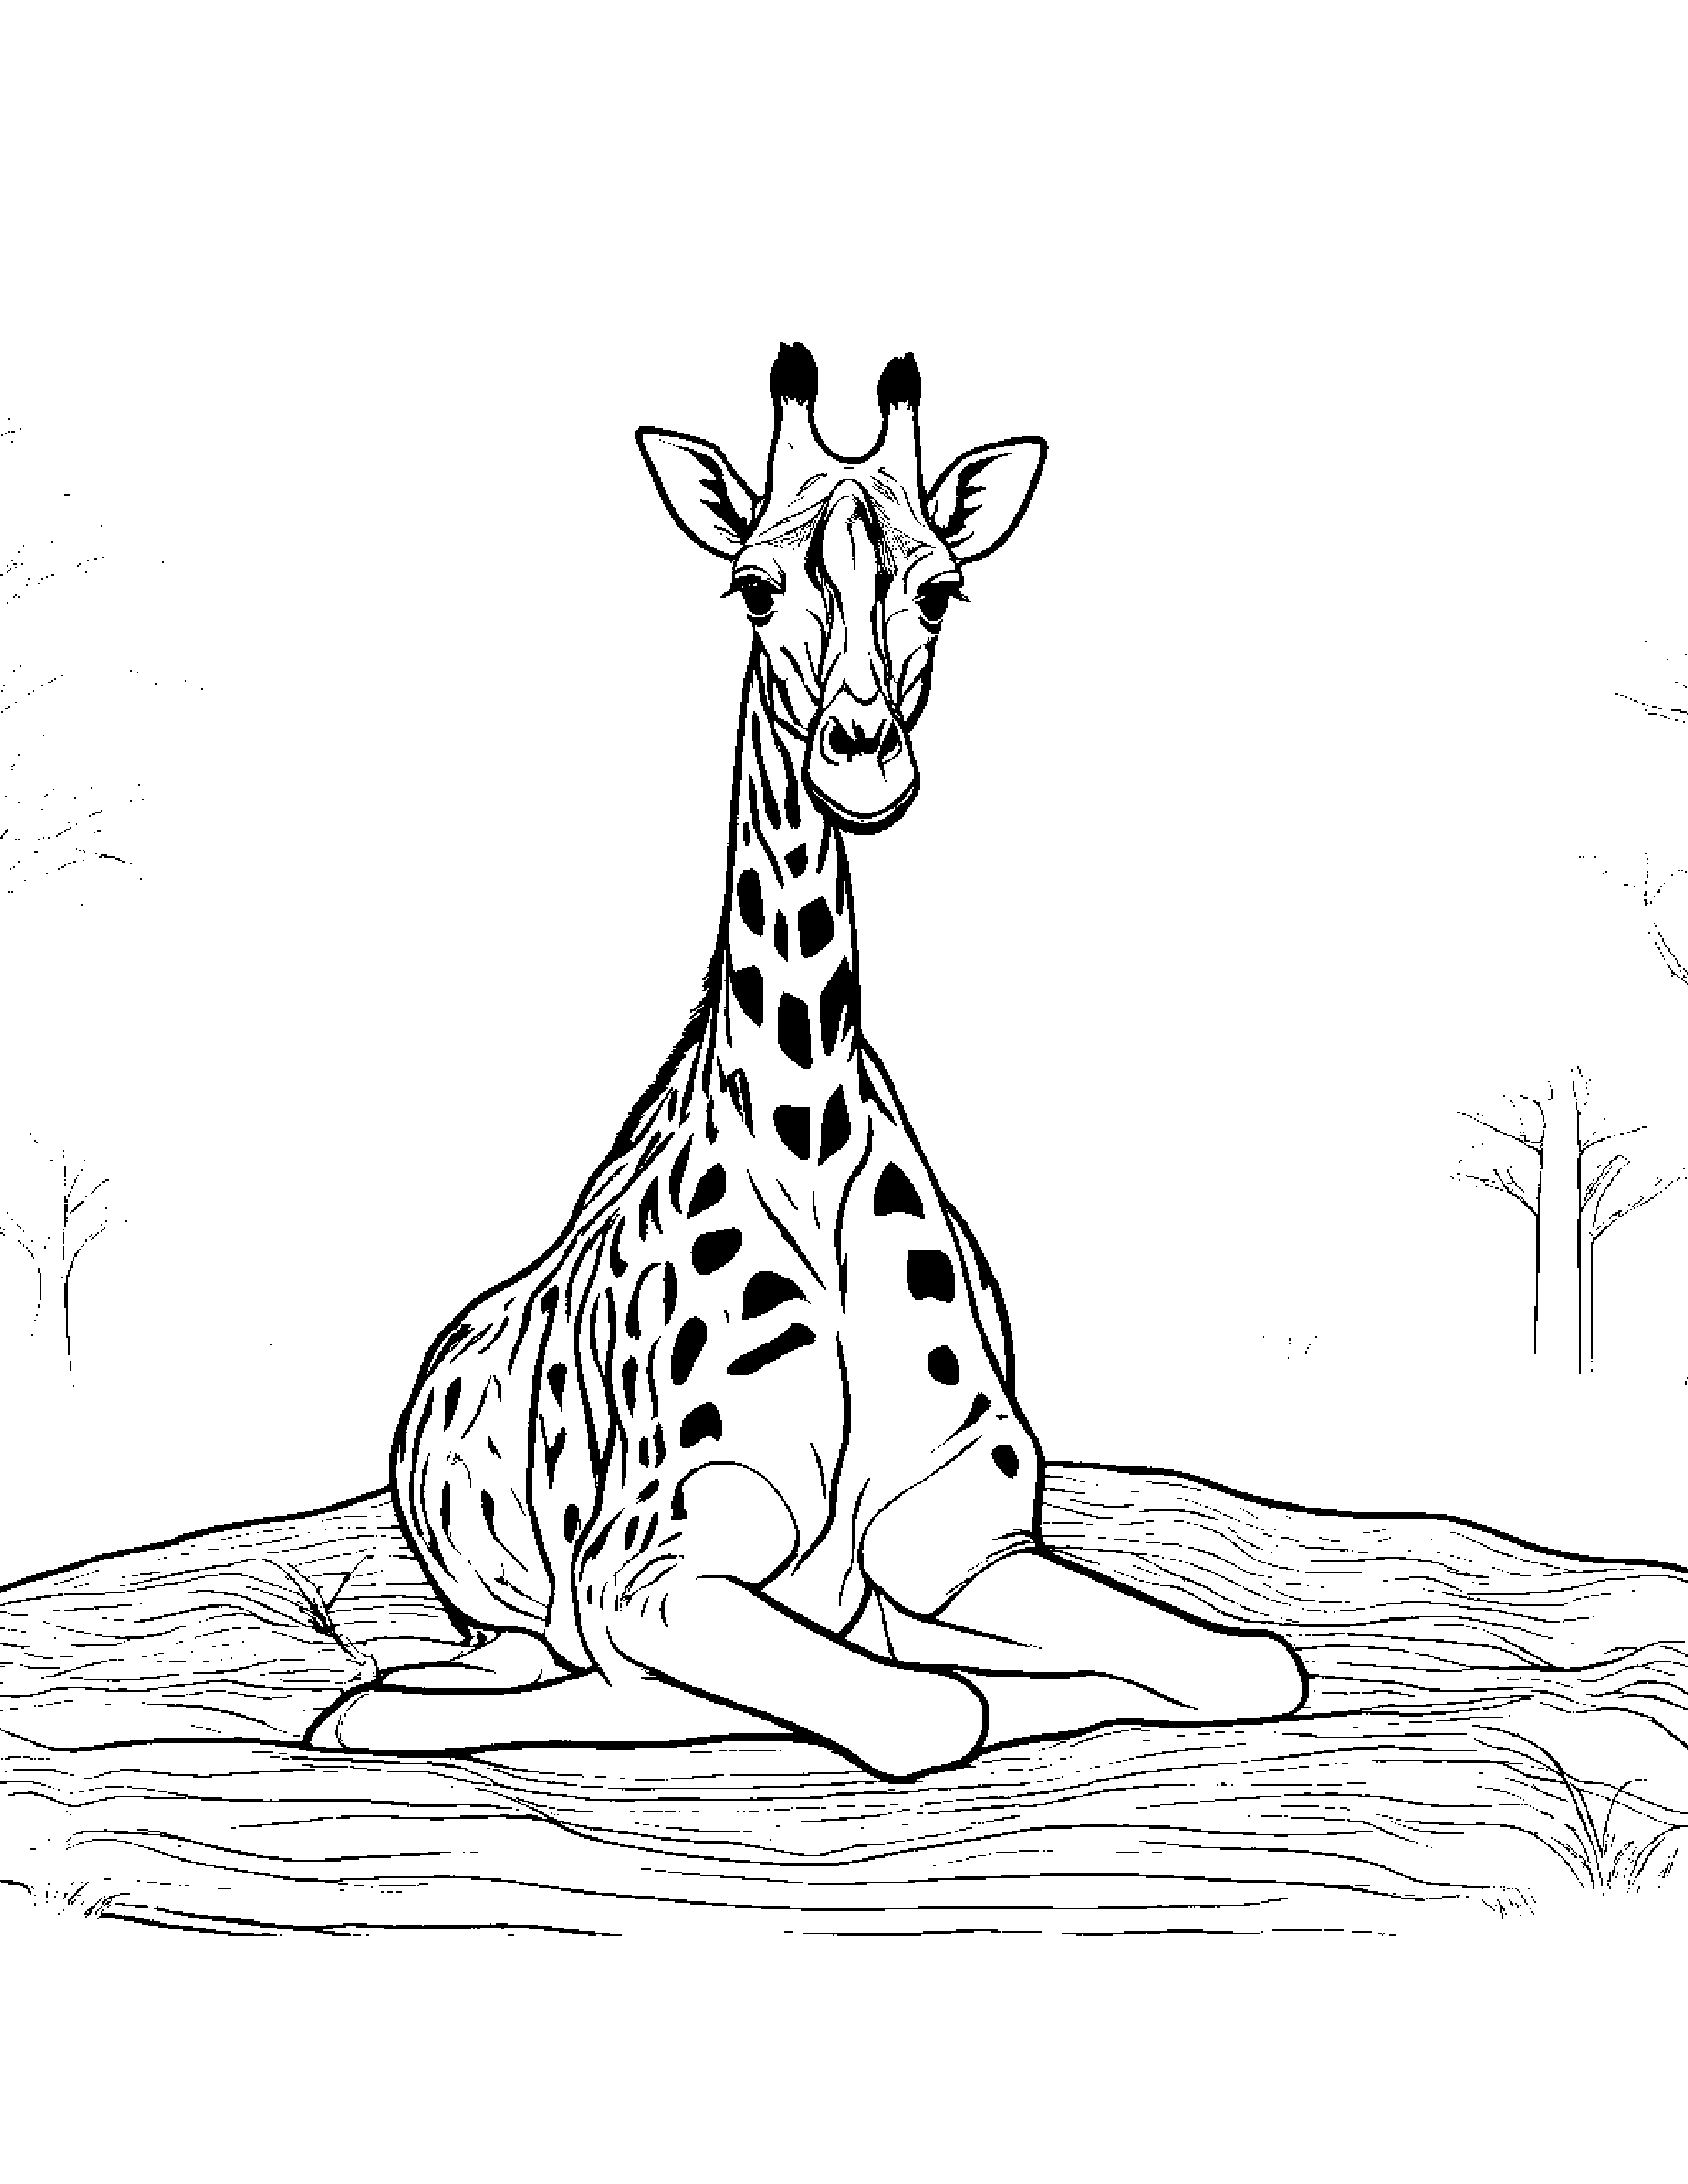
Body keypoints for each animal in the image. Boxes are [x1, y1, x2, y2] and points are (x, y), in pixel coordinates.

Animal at [307, 346, 1308, 1780]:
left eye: (941, 586)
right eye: (753, 584)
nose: (863, 757)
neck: (810, 1131)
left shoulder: (960, 1536)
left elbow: (1246, 1667)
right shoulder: (652, 1568)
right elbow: (933, 1708)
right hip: (506, 1605)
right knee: (486, 1664)